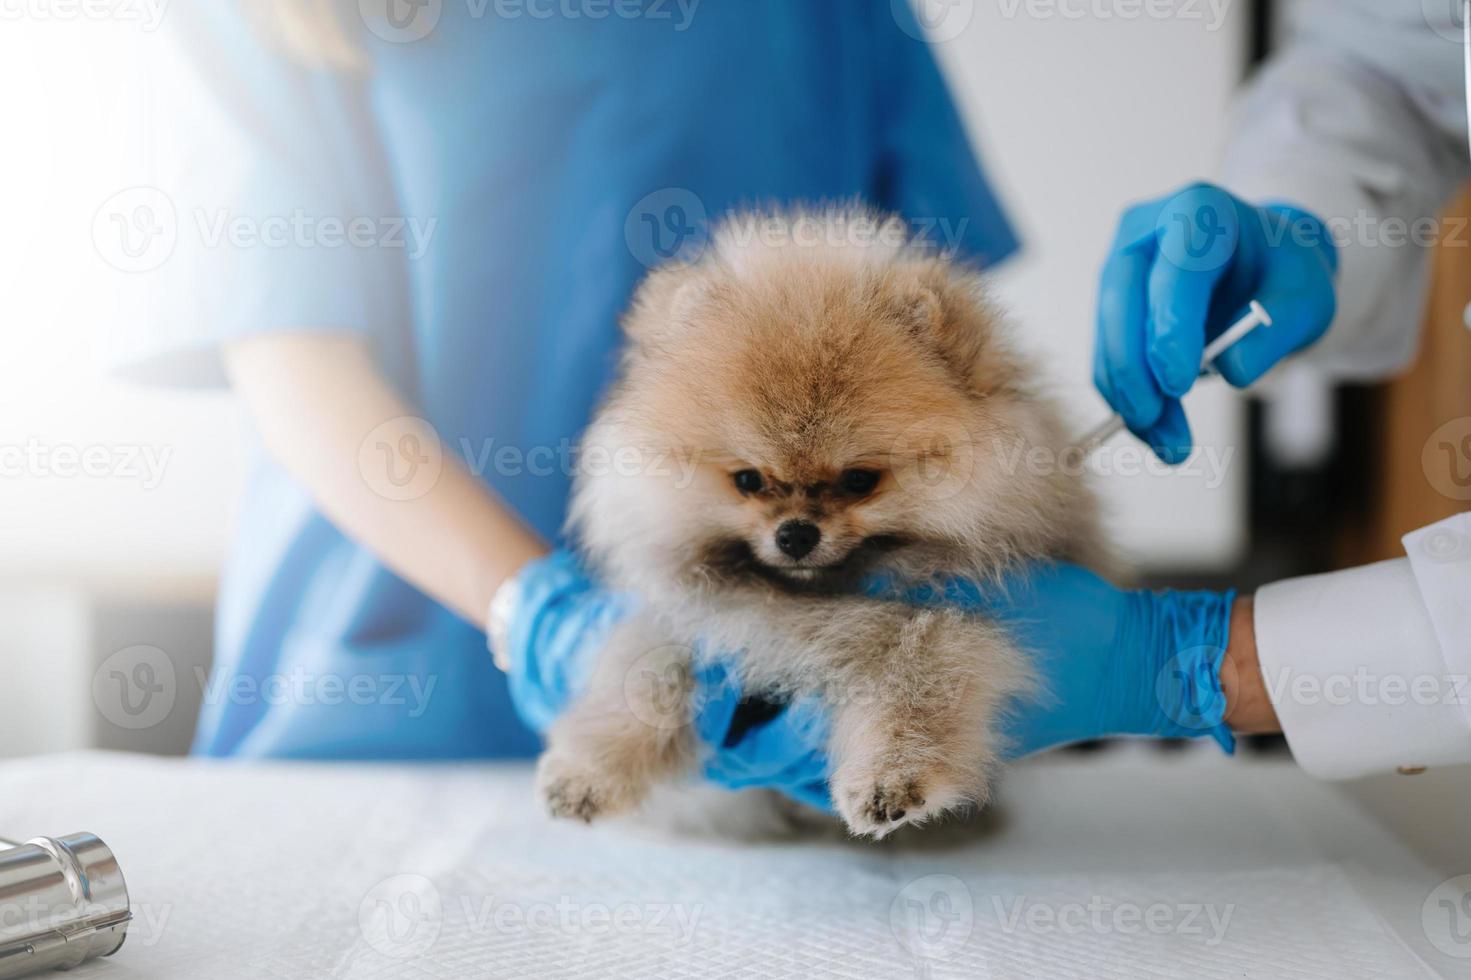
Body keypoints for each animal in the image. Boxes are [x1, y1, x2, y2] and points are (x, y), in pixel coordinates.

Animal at [541, 210, 1106, 835]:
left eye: (859, 480)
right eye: (748, 480)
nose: (795, 534)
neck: (813, 604)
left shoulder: (948, 620)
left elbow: (921, 676)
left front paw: (889, 777)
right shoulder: (699, 619)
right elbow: (643, 673)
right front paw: (586, 772)